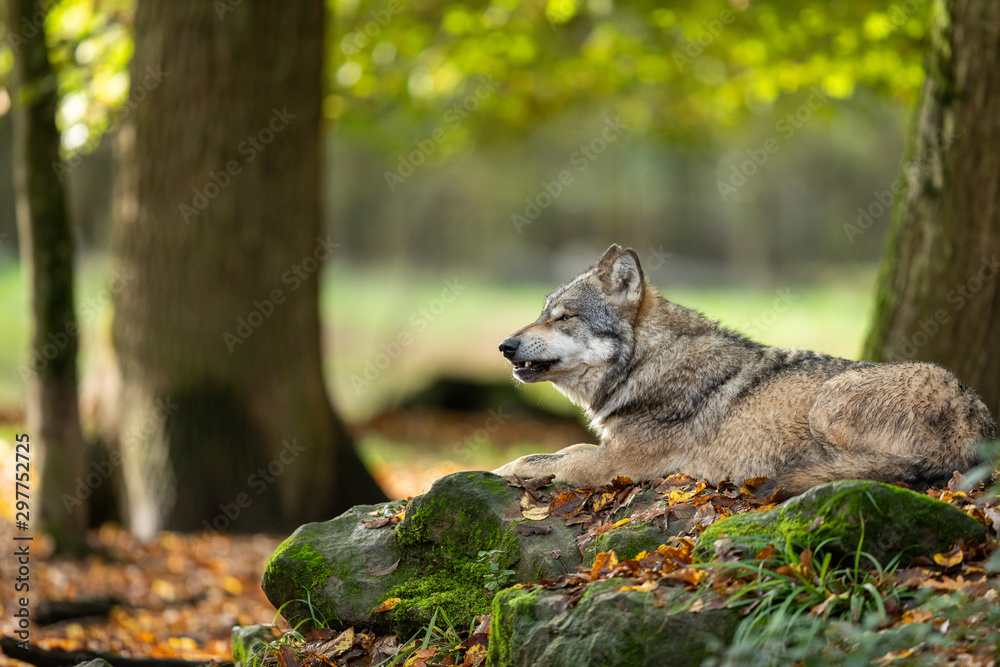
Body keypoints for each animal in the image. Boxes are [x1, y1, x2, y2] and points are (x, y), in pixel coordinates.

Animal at [493, 244, 995, 497]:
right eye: (542, 314)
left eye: (564, 318)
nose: (505, 346)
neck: (649, 363)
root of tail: (971, 417)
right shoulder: (607, 449)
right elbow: (560, 449)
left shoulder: (616, 464)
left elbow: (540, 460)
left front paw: (499, 470)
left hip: (827, 405)